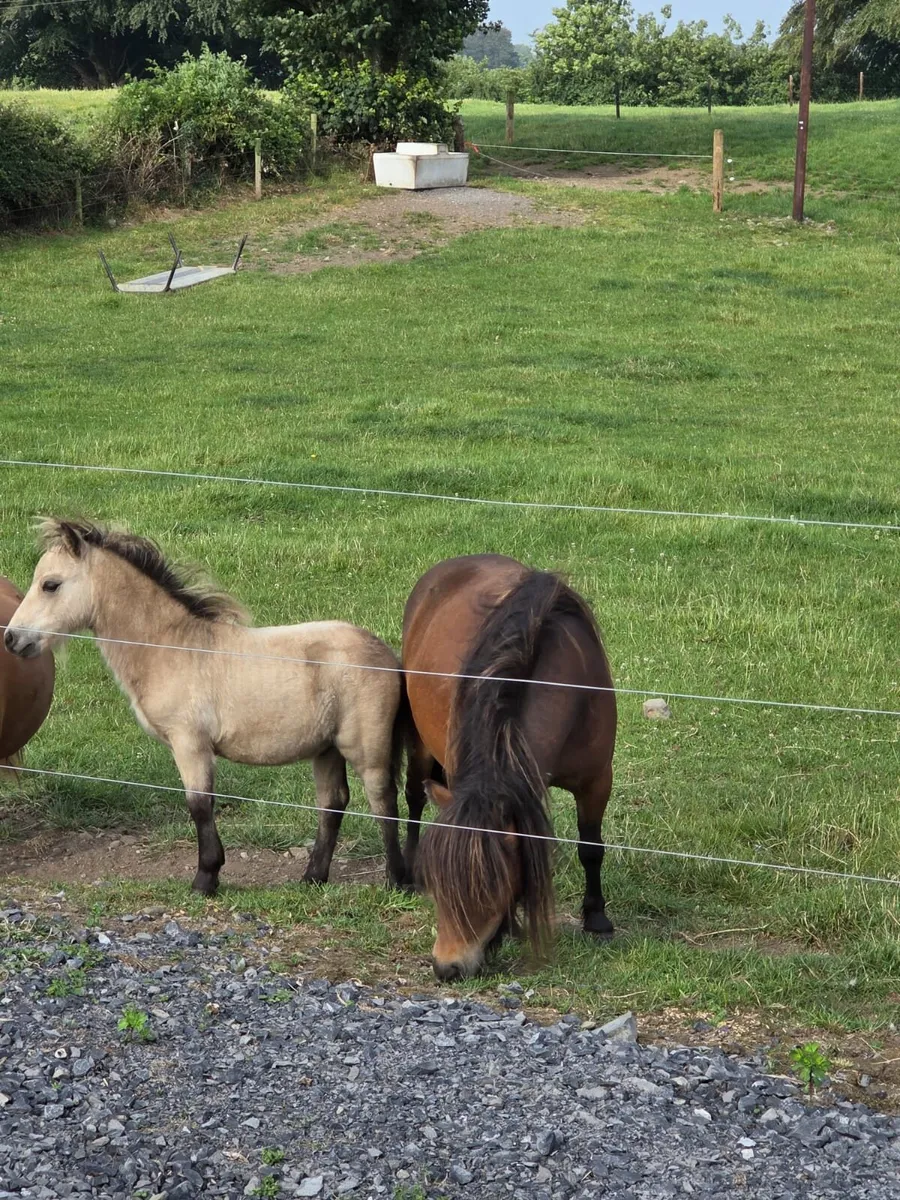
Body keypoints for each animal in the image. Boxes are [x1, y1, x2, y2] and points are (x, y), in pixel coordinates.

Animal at [401, 554, 617, 981]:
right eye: (441, 888)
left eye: (490, 886)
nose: (447, 967)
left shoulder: (597, 780)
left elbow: (591, 848)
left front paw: (596, 918)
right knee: (414, 798)